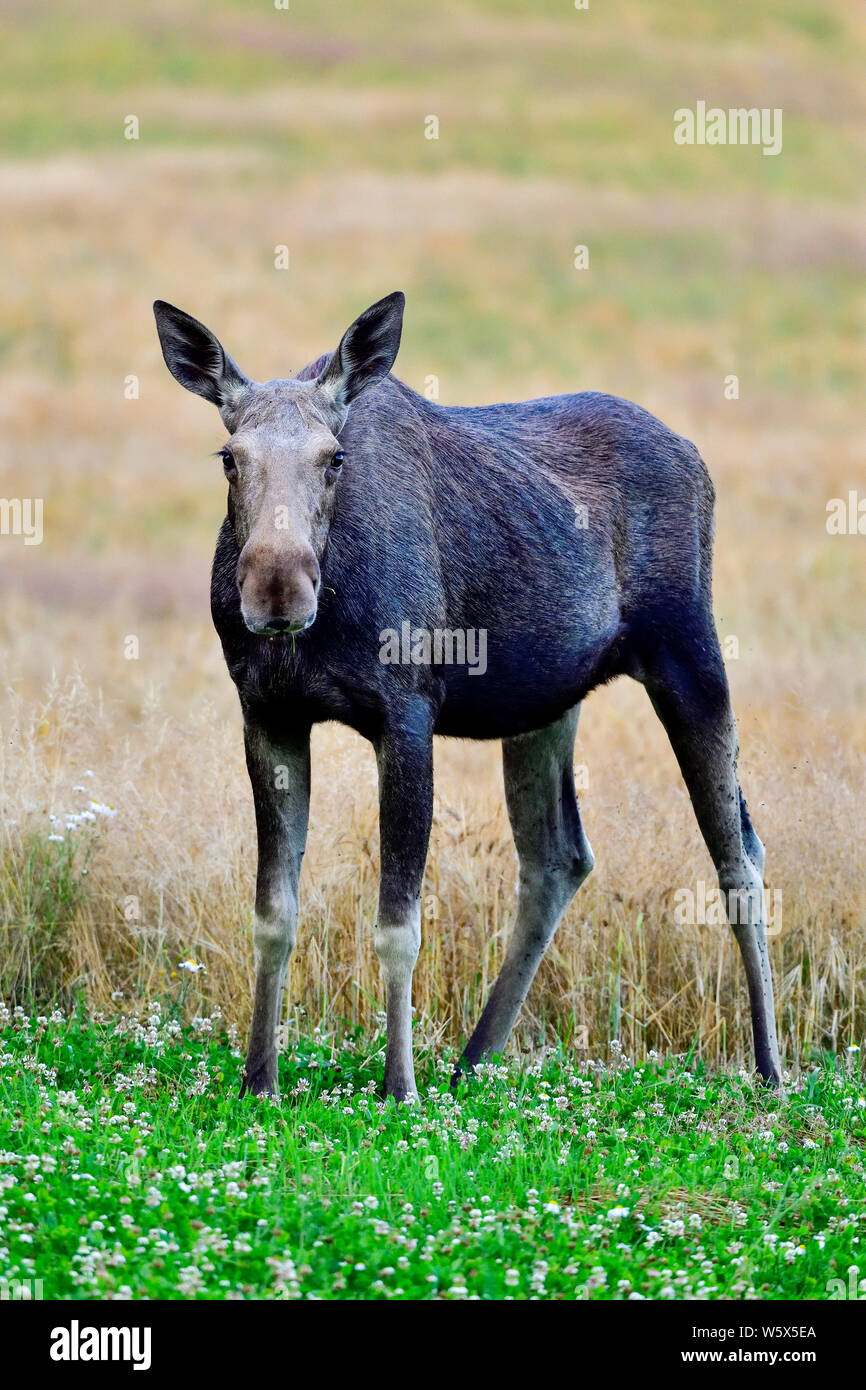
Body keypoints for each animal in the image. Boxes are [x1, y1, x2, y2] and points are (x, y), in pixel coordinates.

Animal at [152, 290, 783, 1095]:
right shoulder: (268, 714)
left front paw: (399, 1085)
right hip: (546, 705)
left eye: (334, 458)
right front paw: (257, 1078)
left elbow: (399, 923)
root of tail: (696, 458)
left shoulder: (407, 714)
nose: (277, 589)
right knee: (559, 857)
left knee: (739, 855)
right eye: (230, 457)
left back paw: (770, 1067)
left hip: (689, 652)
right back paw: (473, 1059)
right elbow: (273, 914)